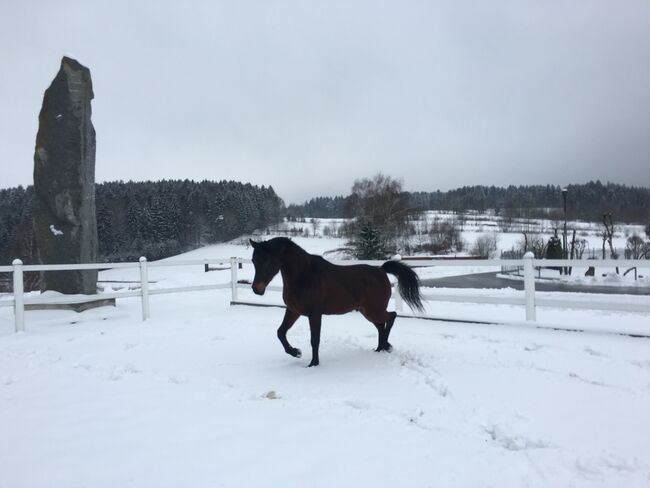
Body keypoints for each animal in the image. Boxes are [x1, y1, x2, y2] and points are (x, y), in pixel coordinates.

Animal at [247, 236, 420, 366]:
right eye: (254, 261)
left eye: (267, 261)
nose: (256, 289)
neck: (304, 275)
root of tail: (381, 270)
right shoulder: (293, 311)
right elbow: (280, 332)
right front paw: (296, 352)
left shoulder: (314, 314)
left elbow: (314, 339)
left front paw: (313, 363)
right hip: (367, 311)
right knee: (381, 325)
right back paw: (380, 348)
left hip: (374, 310)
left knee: (391, 317)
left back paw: (385, 346)